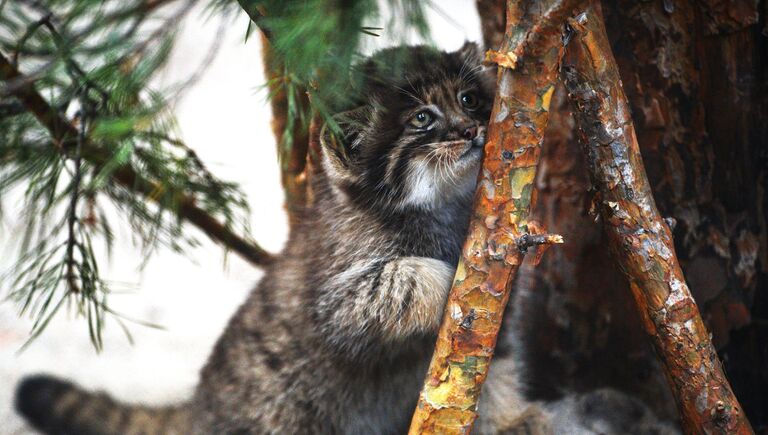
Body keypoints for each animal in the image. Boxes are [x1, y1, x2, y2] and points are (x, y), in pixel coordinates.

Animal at [15, 41, 680, 435]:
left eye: (470, 99)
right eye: (422, 120)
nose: (469, 130)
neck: (440, 212)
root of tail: (198, 410)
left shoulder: (495, 322)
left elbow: (492, 359)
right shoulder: (343, 300)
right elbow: (411, 276)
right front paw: (451, 273)